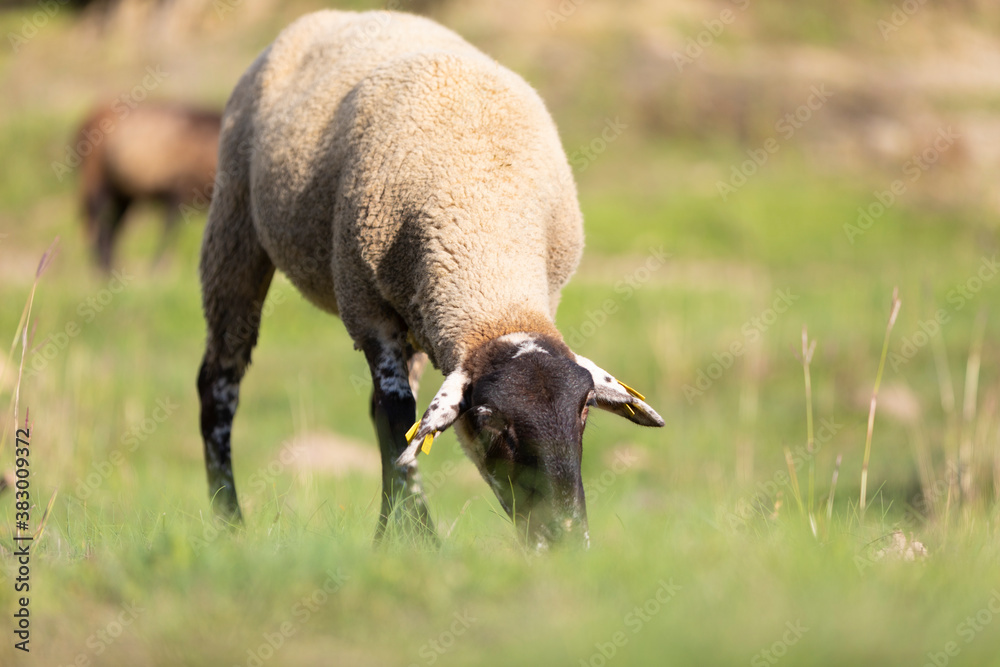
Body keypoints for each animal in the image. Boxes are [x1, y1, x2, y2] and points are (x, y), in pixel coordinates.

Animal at [78, 102, 221, 268]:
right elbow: (168, 233)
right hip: (96, 183)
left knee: (110, 231)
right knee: (98, 230)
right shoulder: (178, 194)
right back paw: (104, 269)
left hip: (123, 195)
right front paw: (158, 267)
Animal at [197, 9, 664, 548]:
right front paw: (412, 539)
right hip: (234, 222)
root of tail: (347, 14)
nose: (563, 539)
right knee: (219, 382)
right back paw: (227, 520)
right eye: (487, 419)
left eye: (585, 409)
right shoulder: (367, 310)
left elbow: (403, 429)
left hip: (419, 312)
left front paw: (404, 536)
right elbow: (395, 417)